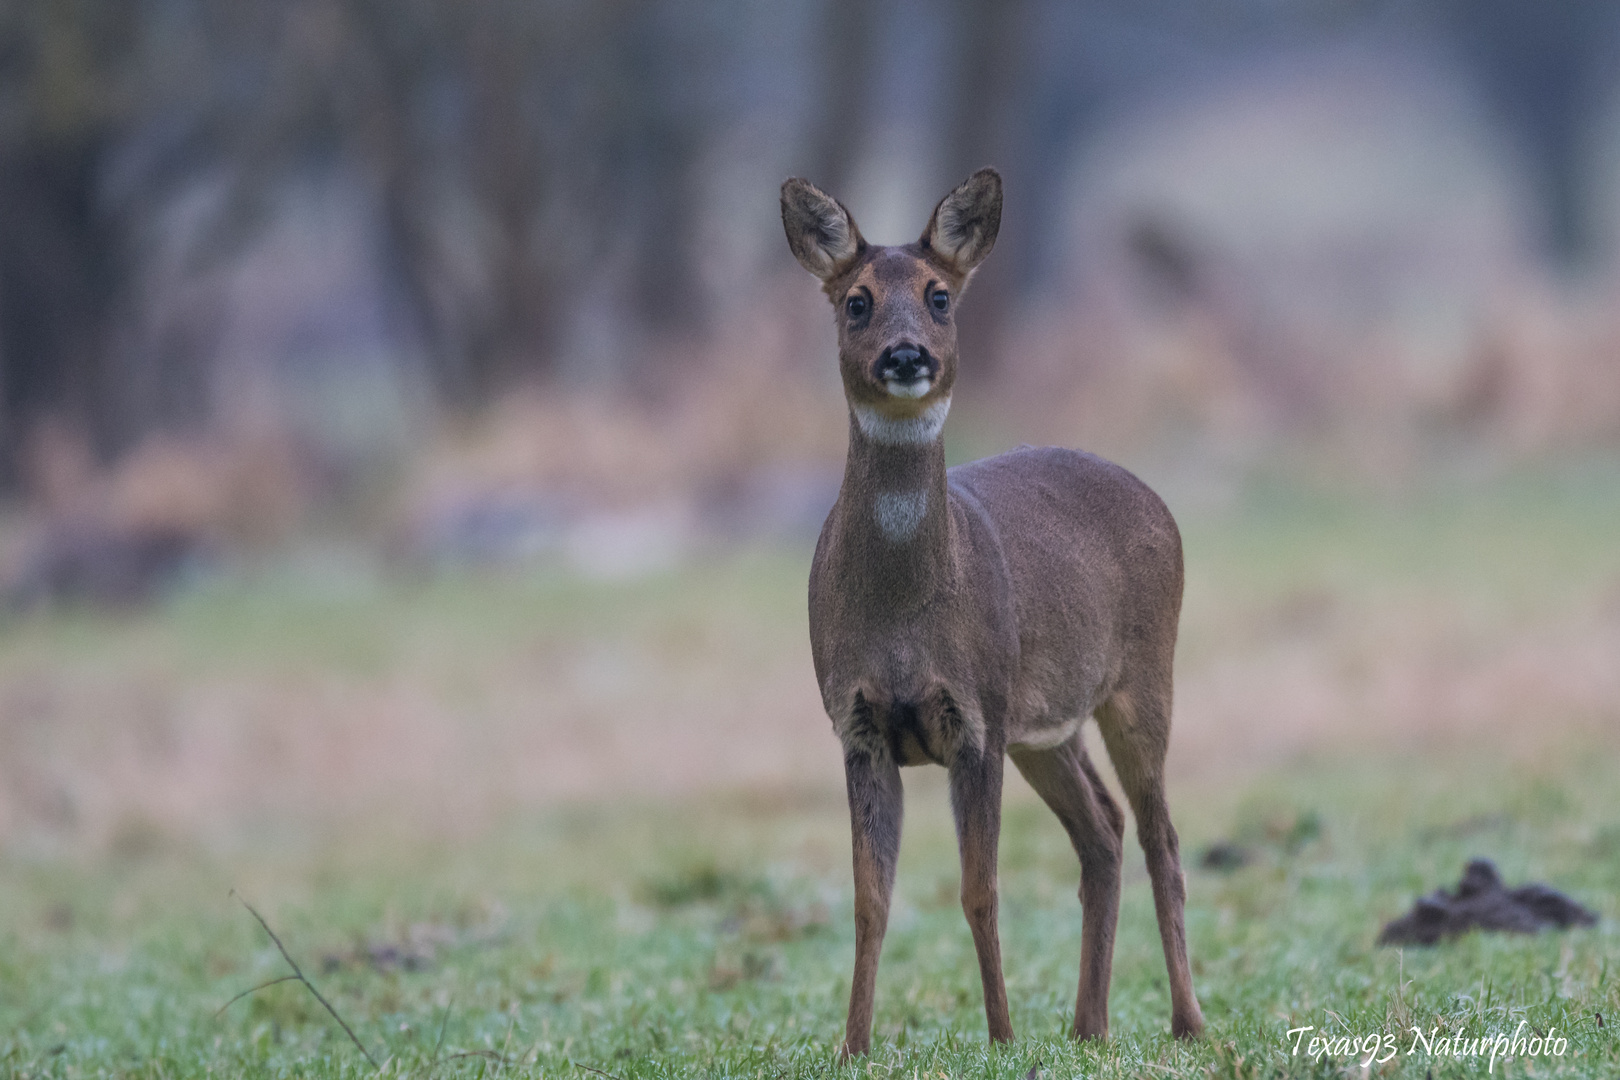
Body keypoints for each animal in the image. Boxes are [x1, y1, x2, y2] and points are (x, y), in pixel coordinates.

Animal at [784, 169, 1205, 1055]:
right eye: (856, 301)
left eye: (940, 296)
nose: (906, 355)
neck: (905, 618)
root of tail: (1157, 499)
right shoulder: (856, 721)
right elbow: (870, 898)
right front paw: (853, 1045)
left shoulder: (976, 715)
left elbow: (980, 890)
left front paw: (1003, 1037)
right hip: (1045, 726)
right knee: (1104, 830)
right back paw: (1088, 1026)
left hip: (1141, 679)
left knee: (1161, 835)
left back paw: (1186, 1022)